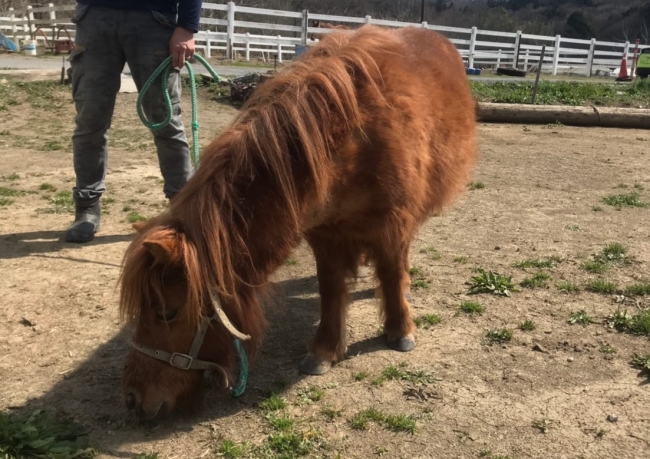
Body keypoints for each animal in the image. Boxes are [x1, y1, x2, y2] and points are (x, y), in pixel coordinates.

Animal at [119, 25, 476, 420]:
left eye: (166, 312)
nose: (133, 397)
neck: (349, 139)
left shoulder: (393, 224)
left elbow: (392, 274)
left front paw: (400, 331)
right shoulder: (325, 234)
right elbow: (331, 288)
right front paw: (324, 350)